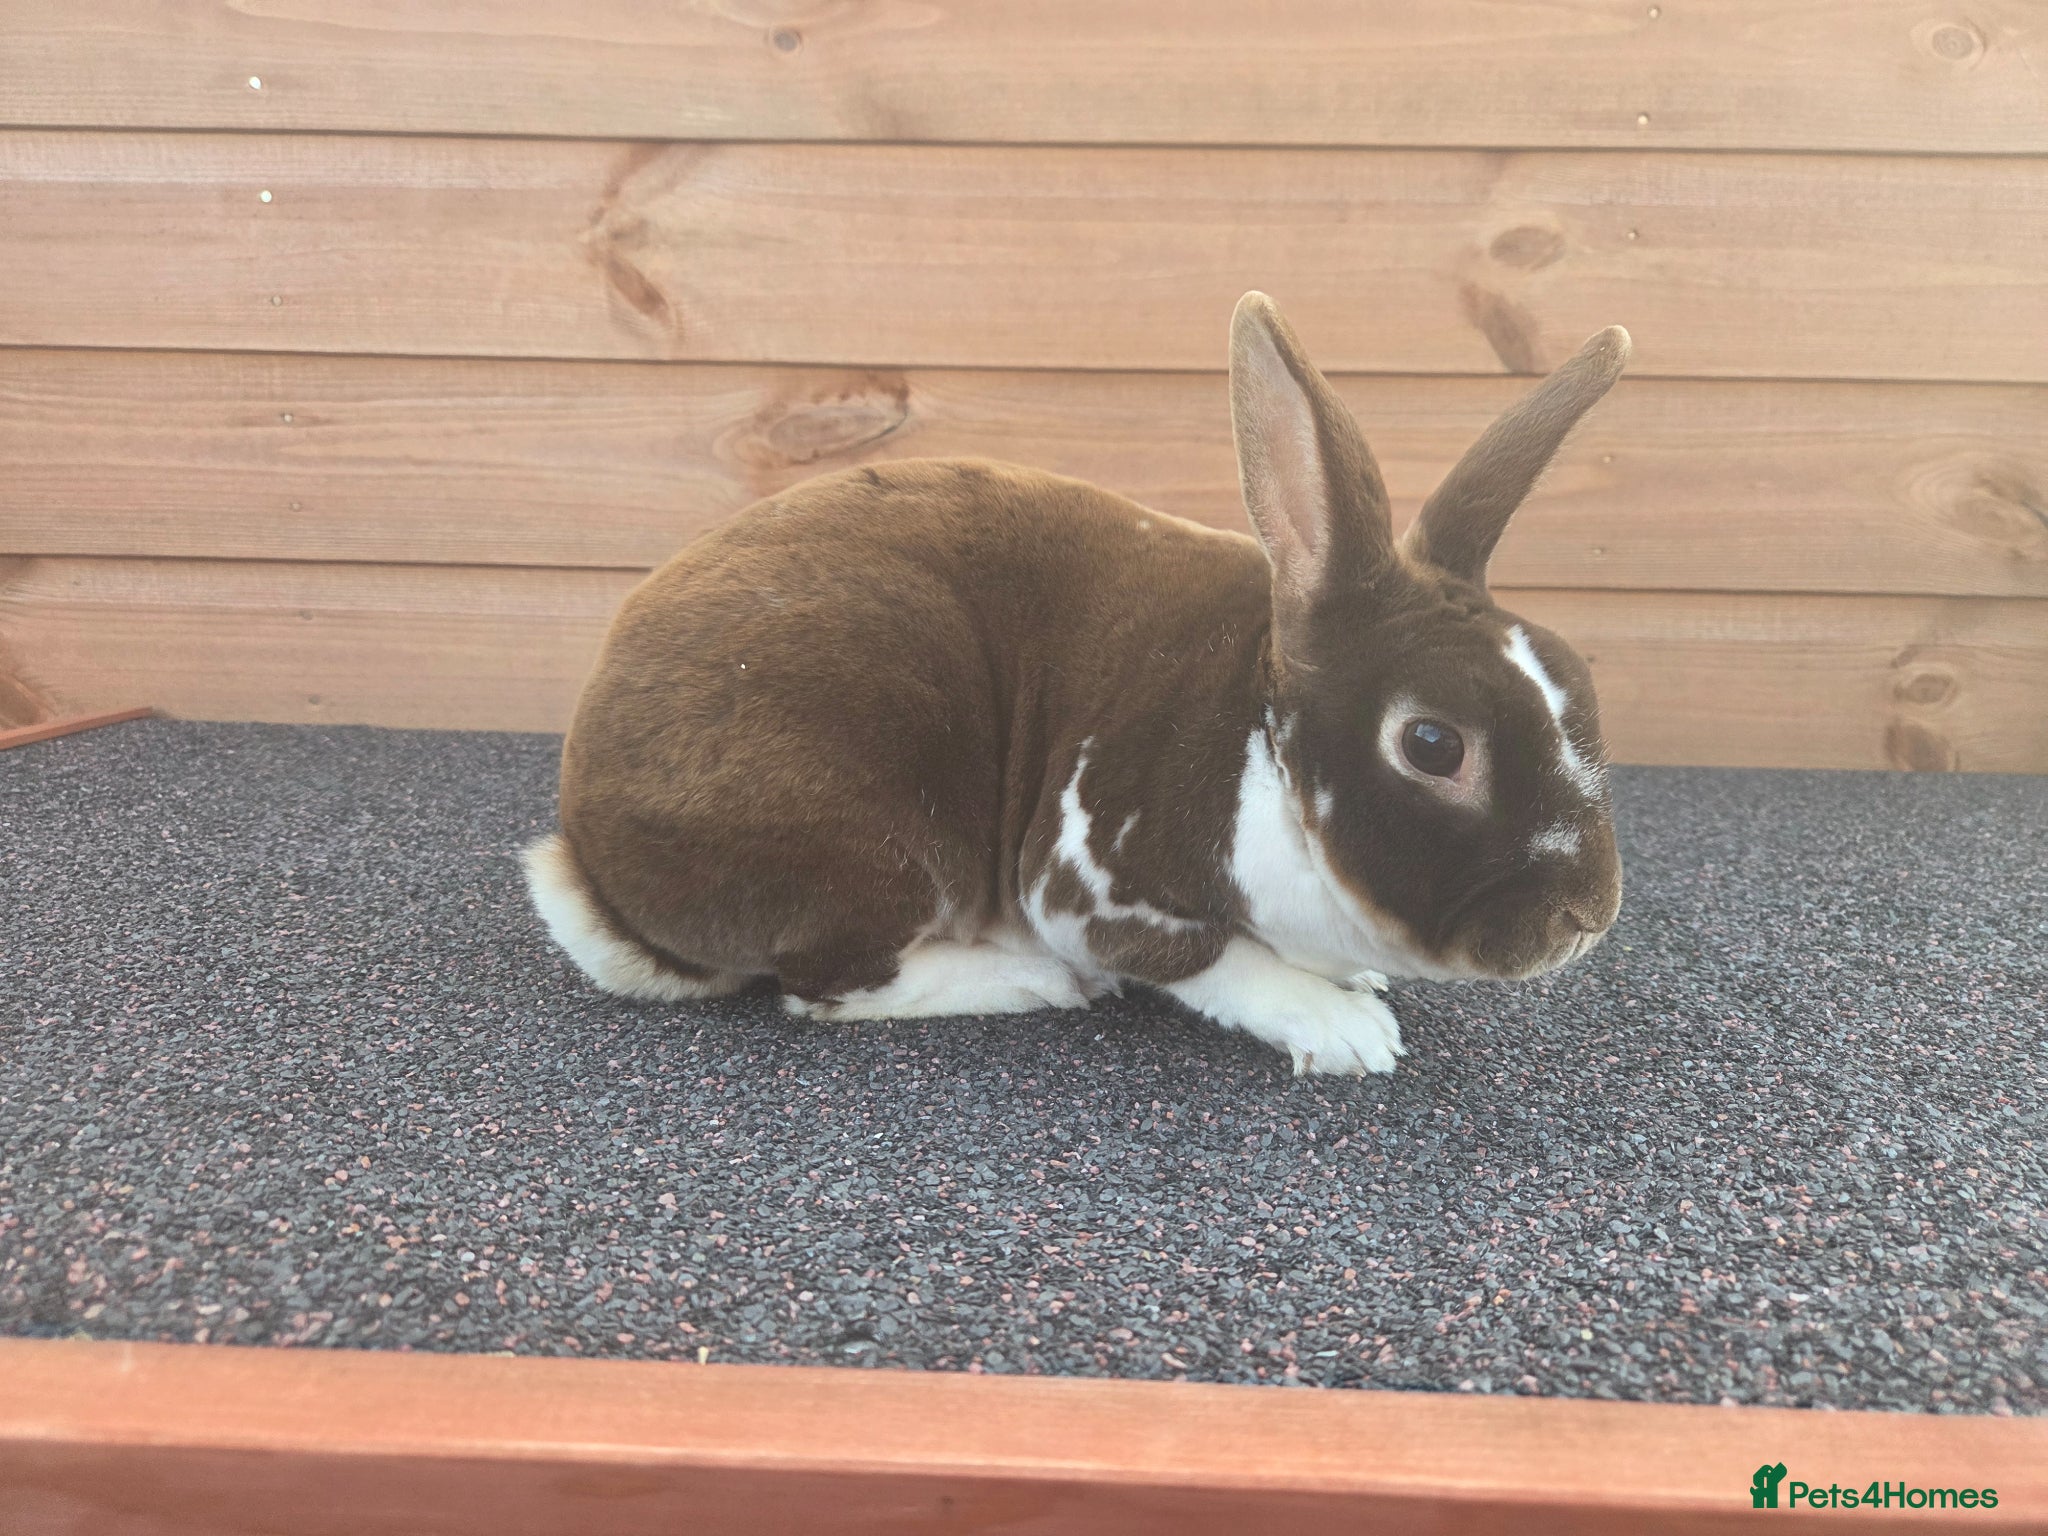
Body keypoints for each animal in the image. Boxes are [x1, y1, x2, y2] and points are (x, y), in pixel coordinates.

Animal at [524, 292, 1629, 1075]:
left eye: (1581, 691)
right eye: (1432, 744)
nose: (1586, 917)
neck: (1262, 742)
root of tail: (590, 858)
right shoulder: (1091, 882)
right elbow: (1218, 960)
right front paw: (1343, 1027)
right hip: (864, 831)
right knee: (828, 985)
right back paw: (1028, 980)